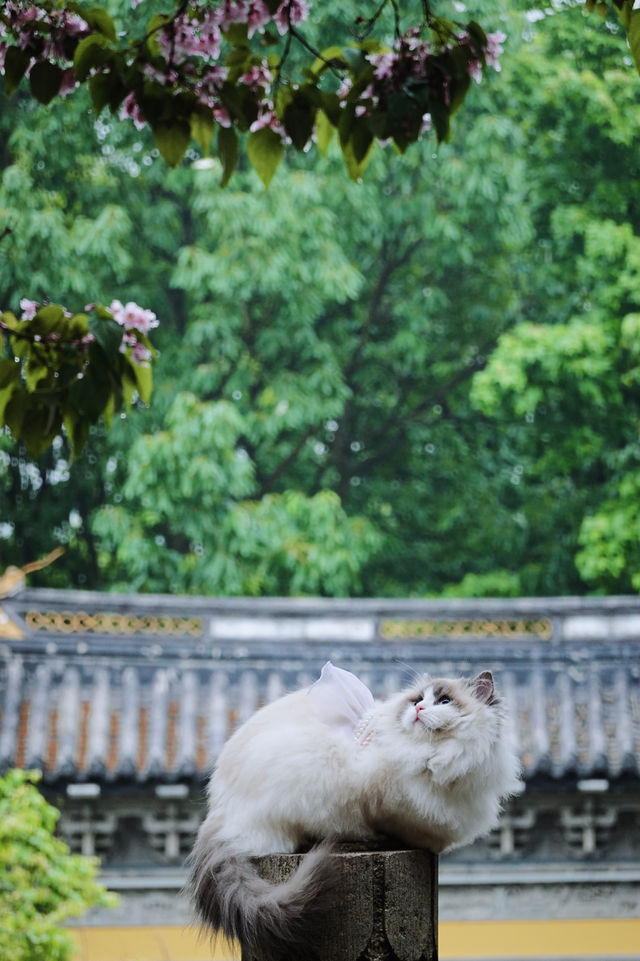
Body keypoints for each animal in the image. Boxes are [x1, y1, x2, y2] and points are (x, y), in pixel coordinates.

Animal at [188, 660, 524, 960]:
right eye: (417, 700)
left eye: (444, 701)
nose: (418, 710)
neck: (435, 756)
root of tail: (218, 813)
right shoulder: (389, 805)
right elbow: (416, 832)